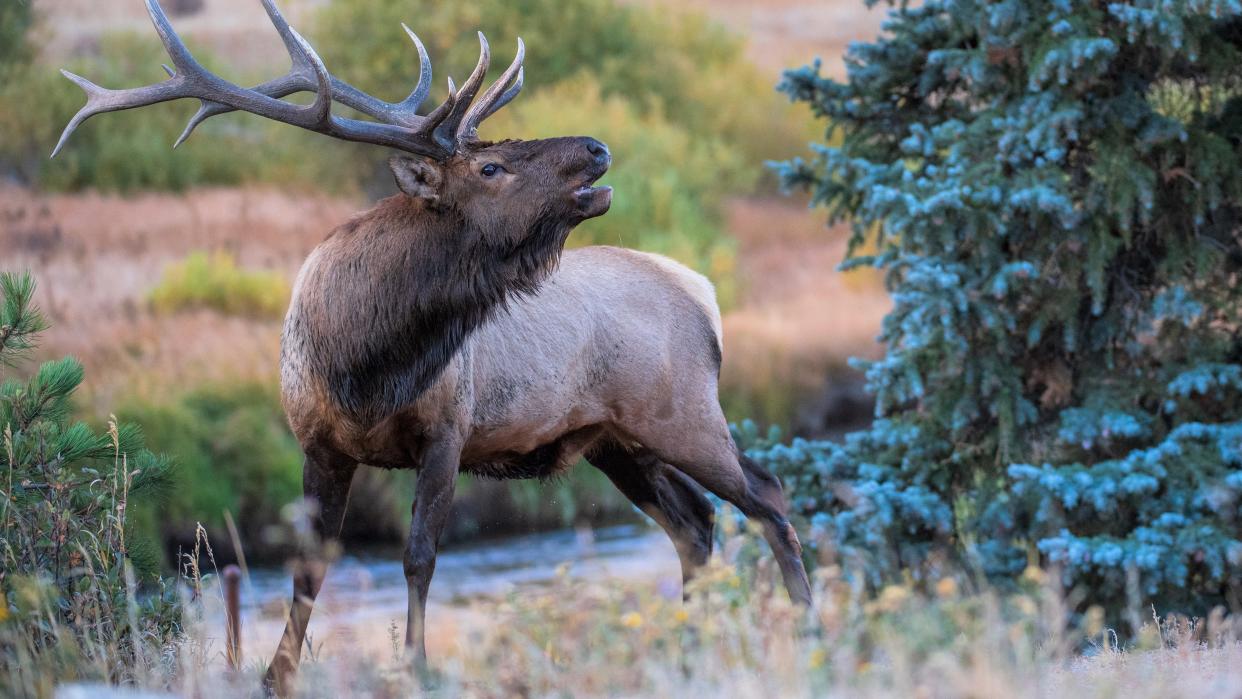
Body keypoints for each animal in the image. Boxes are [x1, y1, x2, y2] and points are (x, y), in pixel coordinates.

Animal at [55, 0, 814, 690]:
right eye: (491, 168)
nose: (596, 147)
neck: (366, 365)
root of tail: (703, 292)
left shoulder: (447, 430)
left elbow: (419, 555)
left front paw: (416, 668)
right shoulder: (318, 441)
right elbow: (309, 565)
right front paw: (276, 674)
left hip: (683, 412)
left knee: (766, 494)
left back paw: (806, 630)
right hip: (615, 440)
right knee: (697, 521)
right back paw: (689, 649)